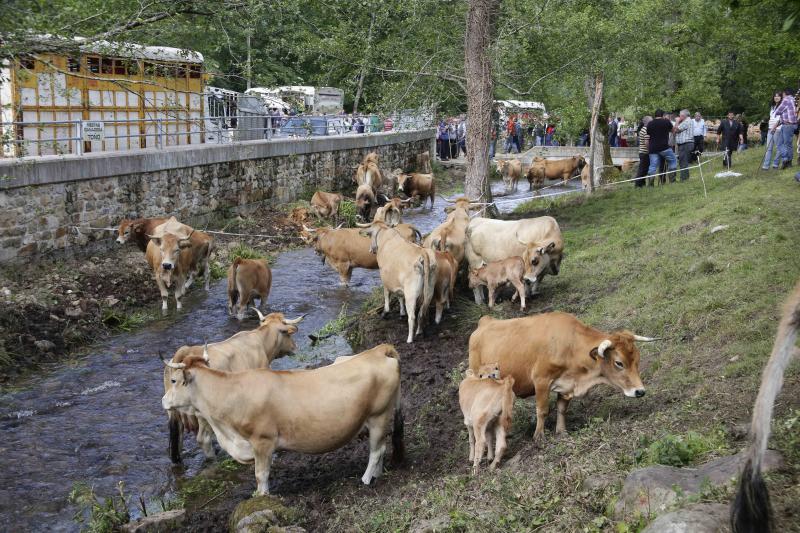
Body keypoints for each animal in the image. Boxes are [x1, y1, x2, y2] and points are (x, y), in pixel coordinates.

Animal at [162, 342, 404, 492]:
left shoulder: (262, 441)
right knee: (381, 449)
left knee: (377, 450)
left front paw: (261, 497)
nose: (163, 401)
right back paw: (377, 475)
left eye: (174, 380)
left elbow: (261, 475)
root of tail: (378, 350)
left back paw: (366, 479)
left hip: (379, 415)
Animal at [468, 312, 656, 440]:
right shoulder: (541, 380)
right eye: (619, 363)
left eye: (637, 359)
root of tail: (485, 321)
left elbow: (561, 409)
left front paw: (561, 431)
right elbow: (542, 410)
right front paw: (539, 436)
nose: (640, 391)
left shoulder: (567, 385)